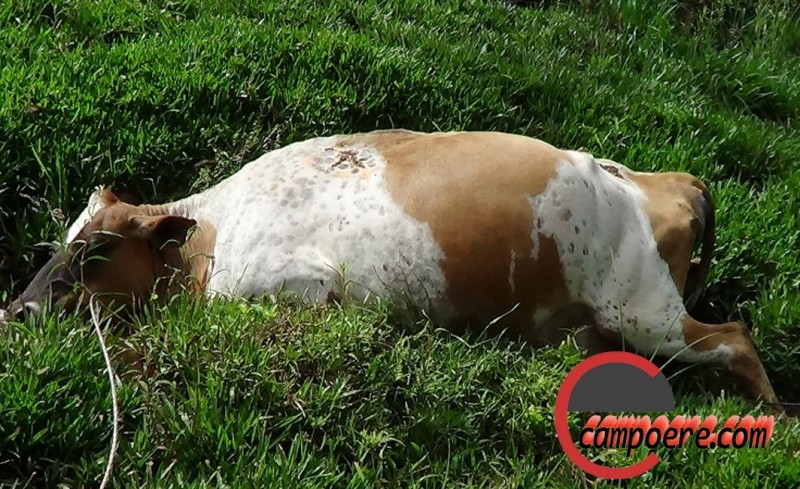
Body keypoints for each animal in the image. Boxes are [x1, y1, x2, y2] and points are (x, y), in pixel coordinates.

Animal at [7, 130, 778, 405]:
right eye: (59, 242)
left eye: (97, 249)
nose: (17, 309)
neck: (212, 235)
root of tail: (663, 179)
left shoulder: (294, 285)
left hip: (647, 310)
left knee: (735, 336)